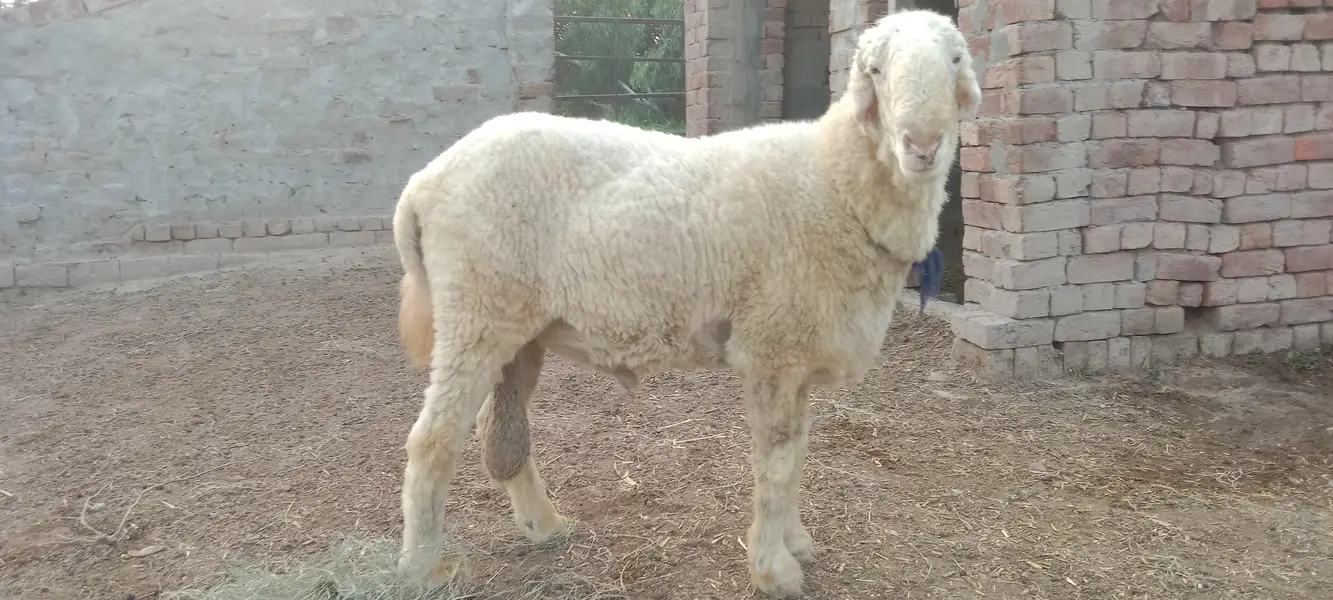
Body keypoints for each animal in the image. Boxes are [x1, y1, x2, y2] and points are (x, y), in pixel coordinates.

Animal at [390, 9, 980, 598]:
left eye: (955, 60)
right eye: (875, 70)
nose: (922, 146)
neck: (836, 181)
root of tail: (423, 182)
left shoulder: (798, 351)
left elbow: (797, 453)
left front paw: (794, 542)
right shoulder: (771, 346)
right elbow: (776, 462)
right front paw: (773, 568)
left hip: (517, 326)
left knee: (502, 431)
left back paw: (545, 526)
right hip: (474, 310)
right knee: (433, 440)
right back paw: (423, 566)